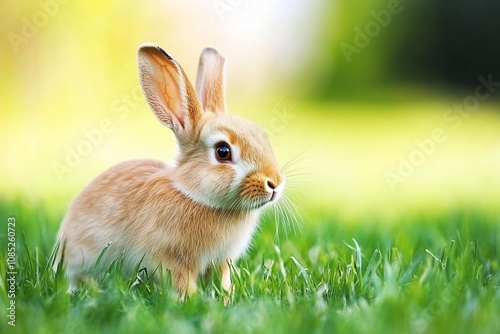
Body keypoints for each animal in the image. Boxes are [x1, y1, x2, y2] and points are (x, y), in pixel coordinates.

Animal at [54, 43, 286, 298]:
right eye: (223, 151)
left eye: (262, 136)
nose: (274, 183)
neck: (195, 196)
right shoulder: (171, 259)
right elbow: (181, 281)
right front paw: (191, 299)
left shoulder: (221, 261)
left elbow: (222, 279)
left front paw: (227, 296)